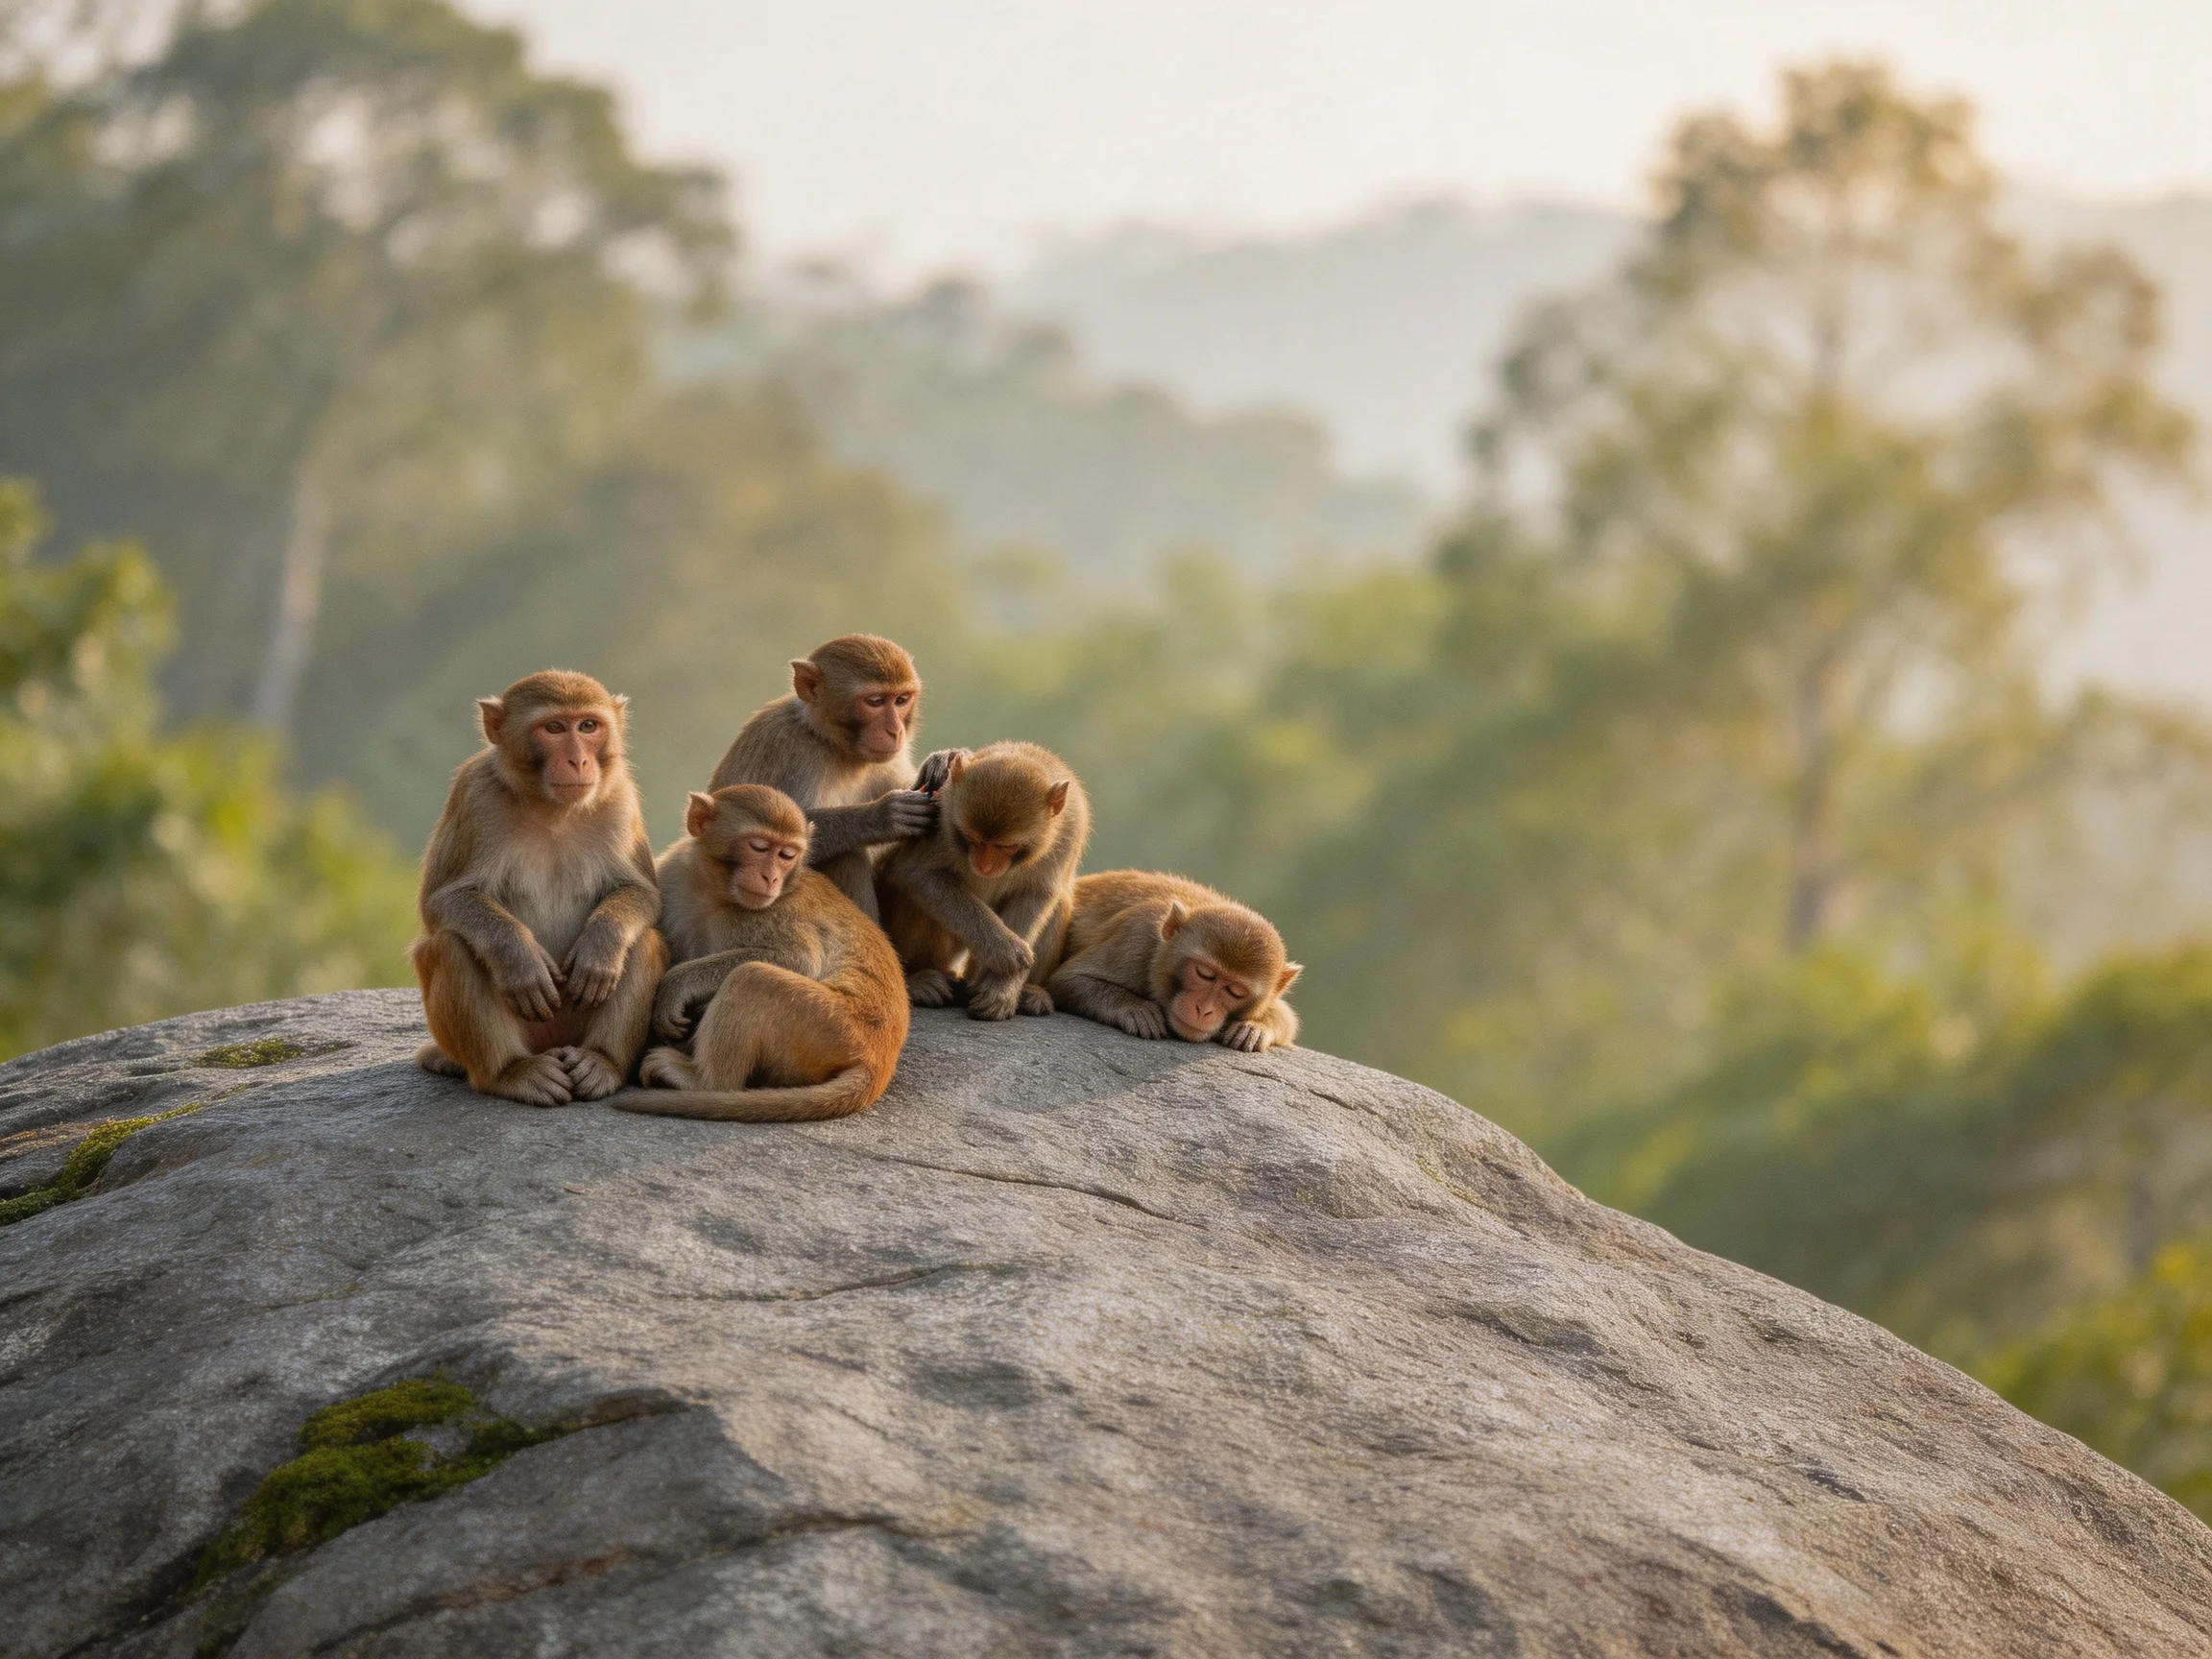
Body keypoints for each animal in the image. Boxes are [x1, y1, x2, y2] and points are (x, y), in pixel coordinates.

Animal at [411, 669, 668, 1107]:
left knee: (643, 940)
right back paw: (511, 1073)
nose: (578, 760)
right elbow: (442, 902)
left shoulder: (620, 798)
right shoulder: (474, 795)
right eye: (554, 728)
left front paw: (601, 946)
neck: (552, 809)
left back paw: (602, 1062)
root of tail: (554, 1044)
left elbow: (643, 895)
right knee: (453, 946)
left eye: (588, 726)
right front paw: (520, 960)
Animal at [616, 784, 909, 1121]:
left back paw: (701, 1081)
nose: (771, 878)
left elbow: (800, 959)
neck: (712, 892)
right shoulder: (672, 875)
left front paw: (679, 983)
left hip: (835, 1026)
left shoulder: (766, 914)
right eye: (759, 847)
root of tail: (879, 1058)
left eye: (787, 855)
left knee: (750, 977)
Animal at [705, 634, 960, 924]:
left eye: (901, 699)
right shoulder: (790, 749)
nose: (895, 731)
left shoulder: (889, 758)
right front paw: (883, 815)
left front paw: (947, 758)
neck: (831, 742)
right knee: (845, 854)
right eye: (875, 701)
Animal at [876, 741, 1091, 1021]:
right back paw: (918, 980)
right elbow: (919, 874)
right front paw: (1007, 953)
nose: (984, 866)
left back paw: (1031, 992)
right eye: (973, 839)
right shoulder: (944, 815)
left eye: (1005, 846)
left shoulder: (1069, 830)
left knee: (1060, 902)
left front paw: (1002, 991)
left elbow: (1036, 895)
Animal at [1046, 871, 1301, 1053]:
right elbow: (1067, 980)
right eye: (1204, 973)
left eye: (1235, 991)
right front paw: (1135, 1008)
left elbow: (1285, 1015)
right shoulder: (1137, 935)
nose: (1204, 1010)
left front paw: (1254, 1029)